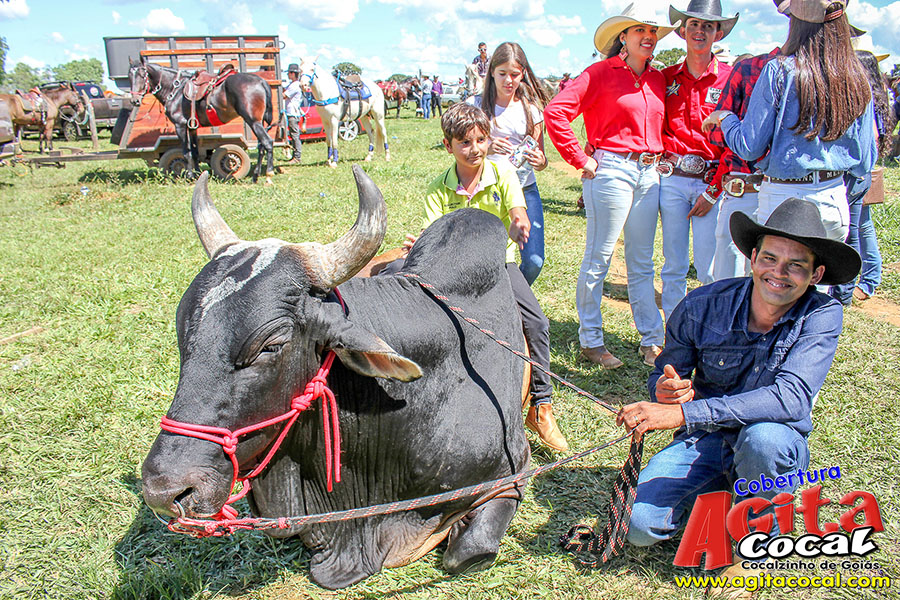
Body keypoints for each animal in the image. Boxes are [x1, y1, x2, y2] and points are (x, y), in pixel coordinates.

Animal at [128, 56, 275, 183]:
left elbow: (186, 153)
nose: (134, 100)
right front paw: (198, 174)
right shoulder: (192, 127)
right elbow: (195, 152)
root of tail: (261, 81)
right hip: (258, 122)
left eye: (143, 75)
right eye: (129, 76)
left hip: (253, 121)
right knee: (261, 146)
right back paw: (255, 176)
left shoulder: (180, 126)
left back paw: (269, 175)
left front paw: (189, 176)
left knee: (267, 142)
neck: (175, 90)